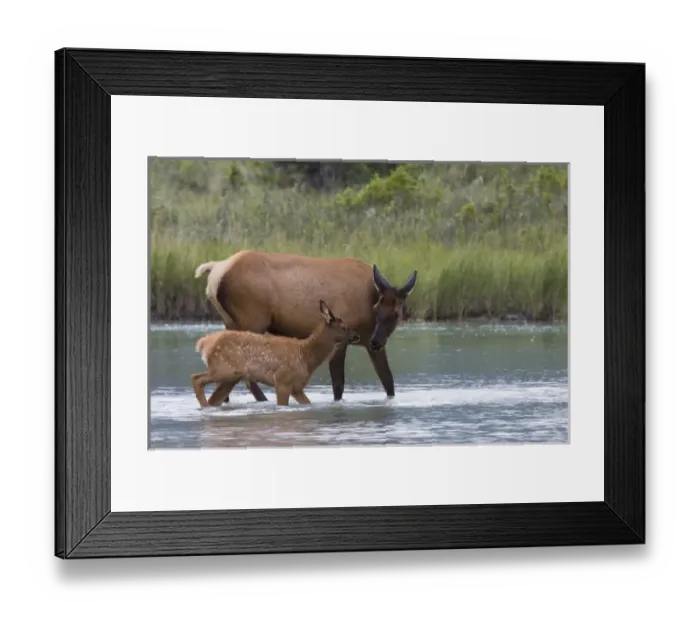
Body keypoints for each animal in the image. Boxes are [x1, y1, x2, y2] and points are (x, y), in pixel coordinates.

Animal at [192, 300, 361, 407]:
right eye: (344, 327)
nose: (357, 336)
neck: (307, 356)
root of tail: (205, 343)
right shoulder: (283, 380)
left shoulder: (297, 387)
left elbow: (308, 403)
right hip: (222, 368)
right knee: (196, 378)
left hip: (230, 377)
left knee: (214, 397)